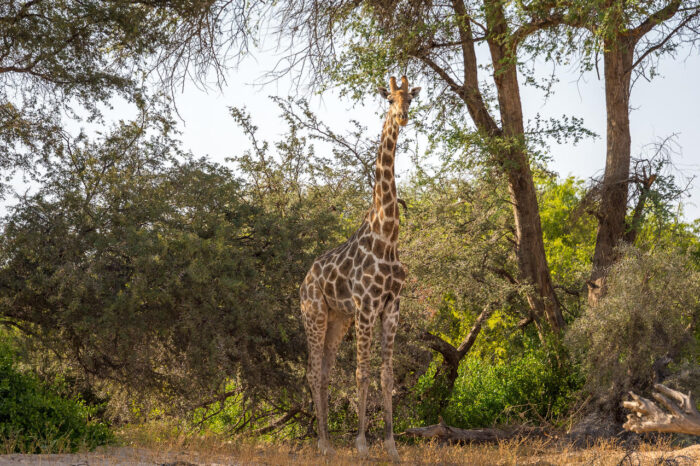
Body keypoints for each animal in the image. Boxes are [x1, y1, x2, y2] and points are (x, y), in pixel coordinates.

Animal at [298, 75, 418, 458]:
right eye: (390, 100)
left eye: (410, 98)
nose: (403, 116)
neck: (387, 235)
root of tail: (304, 280)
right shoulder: (367, 305)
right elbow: (361, 373)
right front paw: (363, 444)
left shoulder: (392, 306)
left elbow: (386, 375)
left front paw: (392, 446)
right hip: (315, 313)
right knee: (312, 371)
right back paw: (323, 443)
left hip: (338, 319)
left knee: (323, 371)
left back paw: (328, 441)